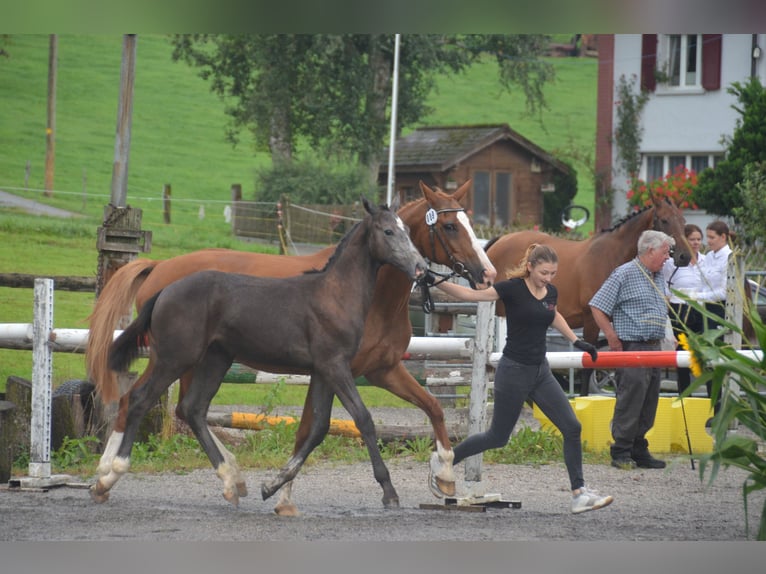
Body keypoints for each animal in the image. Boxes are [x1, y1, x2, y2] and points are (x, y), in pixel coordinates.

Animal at [88, 181, 498, 516]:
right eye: (449, 226)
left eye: (409, 234)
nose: (486, 274)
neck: (338, 293)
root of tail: (163, 283)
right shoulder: (336, 367)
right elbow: (355, 421)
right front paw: (387, 491)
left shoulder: (362, 369)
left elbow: (328, 427)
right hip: (175, 357)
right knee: (138, 400)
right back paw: (108, 476)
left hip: (214, 360)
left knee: (191, 408)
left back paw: (231, 481)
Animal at [488, 196, 692, 354]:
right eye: (664, 220)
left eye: (683, 221)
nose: (685, 256)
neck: (612, 256)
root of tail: (500, 240)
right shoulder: (592, 321)